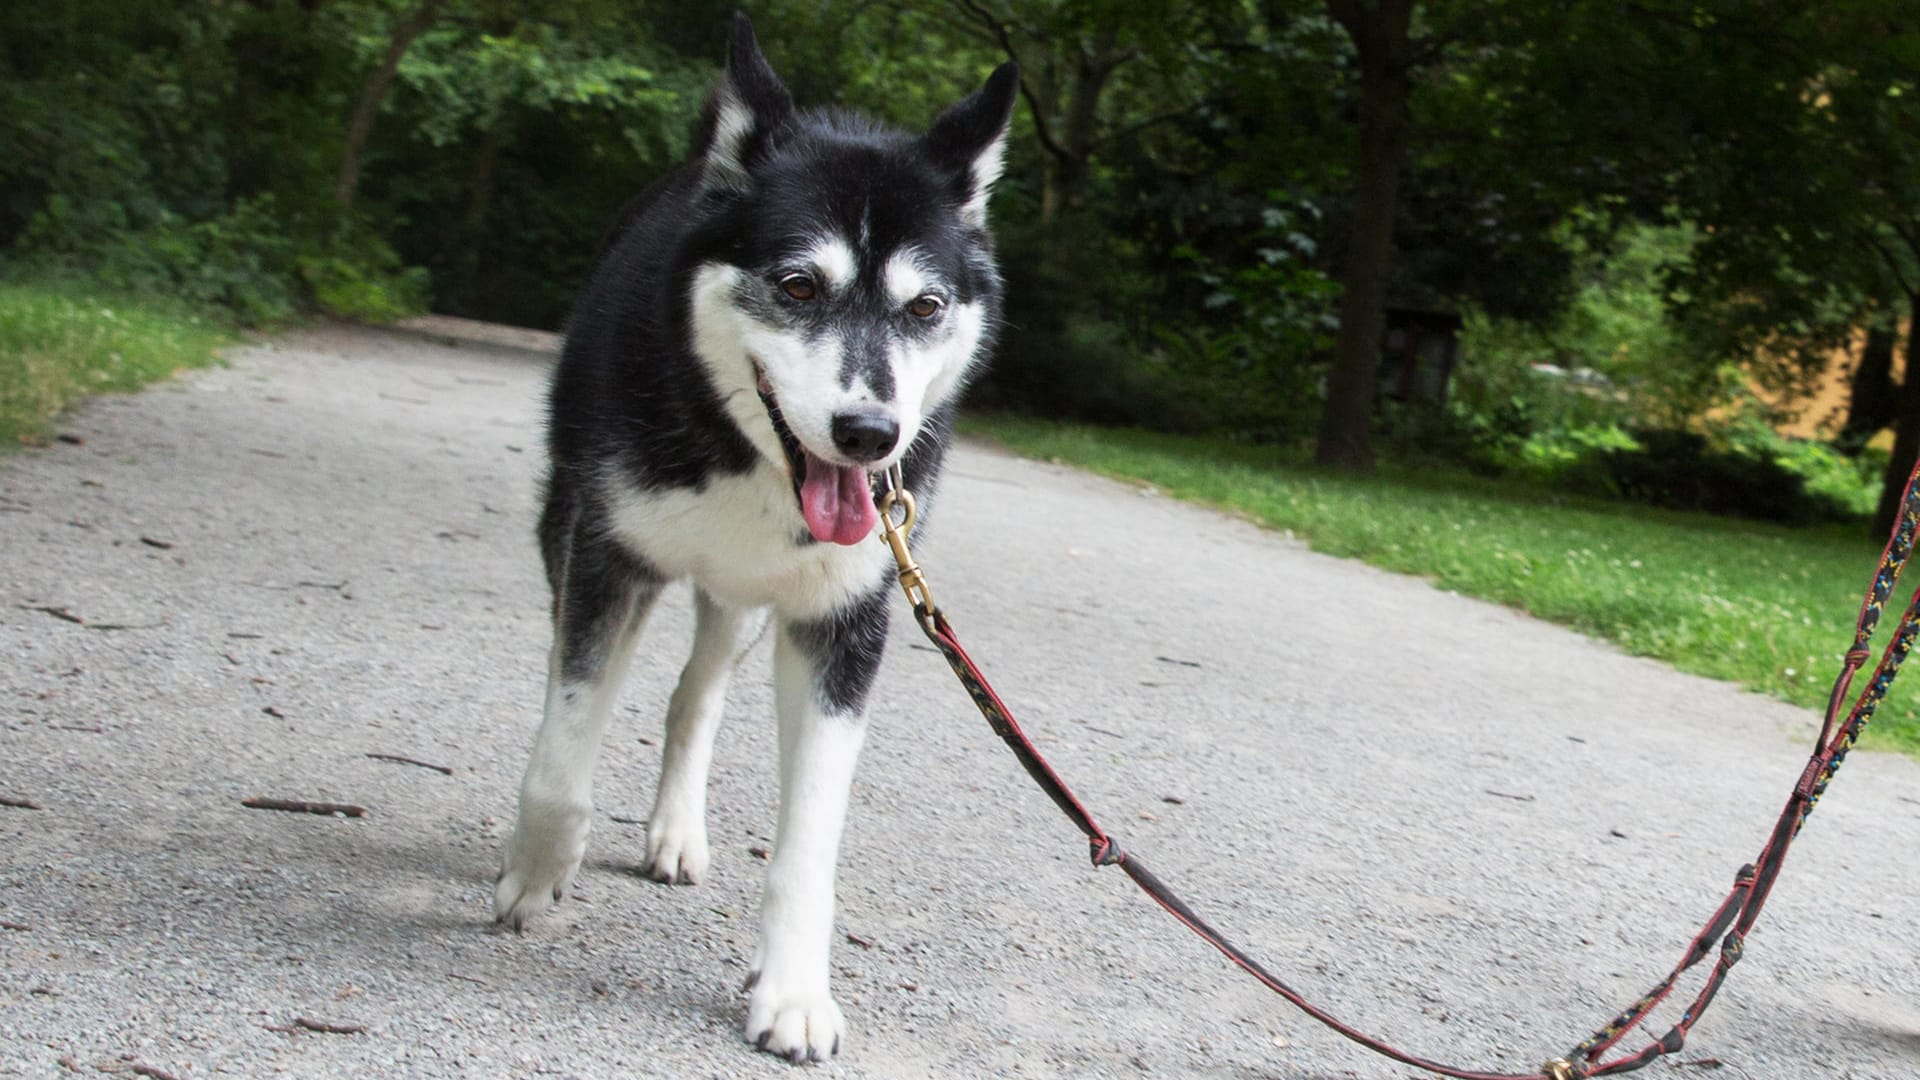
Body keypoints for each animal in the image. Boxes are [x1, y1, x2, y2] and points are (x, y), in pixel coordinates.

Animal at [495, 12, 1021, 1060]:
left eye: (926, 307)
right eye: (799, 285)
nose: (870, 434)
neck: (743, 456)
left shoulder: (842, 624)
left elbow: (809, 841)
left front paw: (794, 992)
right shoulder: (605, 558)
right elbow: (565, 747)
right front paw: (535, 873)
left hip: (741, 604)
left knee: (692, 697)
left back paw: (675, 830)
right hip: (571, 529)